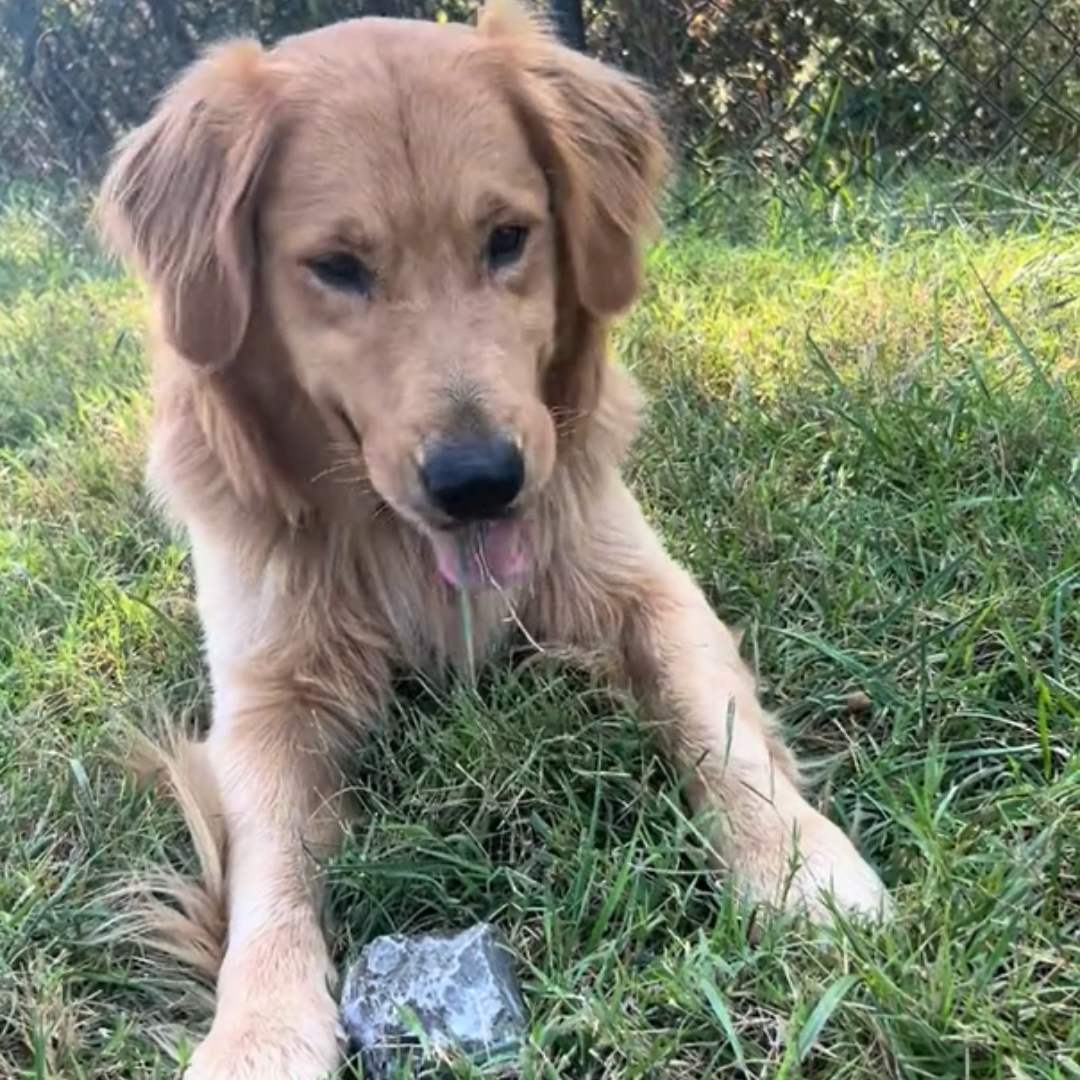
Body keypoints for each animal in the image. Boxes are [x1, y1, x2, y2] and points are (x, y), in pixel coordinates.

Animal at [99, 2, 885, 1080]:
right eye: (337, 267)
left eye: (508, 238)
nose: (480, 482)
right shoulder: (265, 695)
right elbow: (269, 866)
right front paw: (258, 1025)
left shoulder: (648, 587)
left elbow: (717, 729)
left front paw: (800, 867)